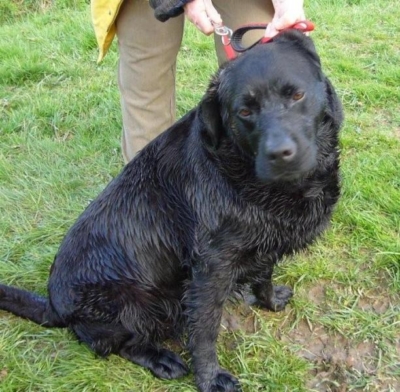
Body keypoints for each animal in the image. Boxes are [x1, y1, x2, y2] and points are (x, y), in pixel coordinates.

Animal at [0, 31, 344, 392]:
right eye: (244, 111)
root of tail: (53, 304)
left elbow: (264, 275)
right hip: (136, 307)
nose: (280, 154)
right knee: (123, 344)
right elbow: (204, 331)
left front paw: (270, 300)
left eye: (297, 95)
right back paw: (161, 359)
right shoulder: (211, 267)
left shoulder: (268, 242)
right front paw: (209, 379)